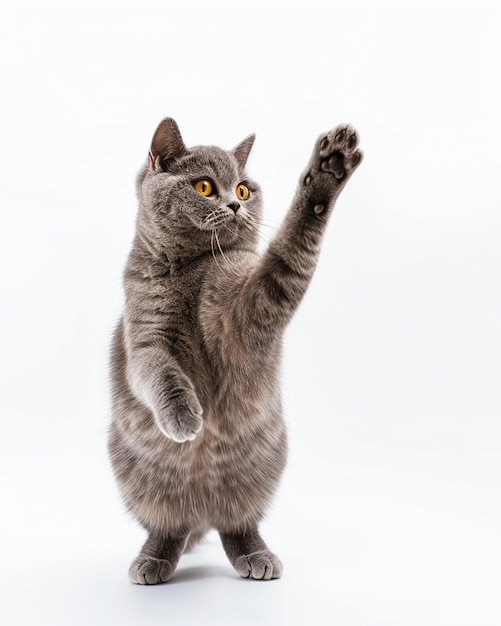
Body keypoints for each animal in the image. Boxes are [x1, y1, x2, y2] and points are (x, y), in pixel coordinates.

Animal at [107, 116, 362, 580]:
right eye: (205, 186)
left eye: (243, 190)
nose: (235, 207)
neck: (192, 268)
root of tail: (203, 512)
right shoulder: (144, 337)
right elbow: (159, 373)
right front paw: (184, 417)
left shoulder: (249, 308)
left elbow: (288, 254)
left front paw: (327, 172)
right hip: (141, 485)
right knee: (168, 527)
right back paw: (153, 560)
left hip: (260, 474)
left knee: (238, 524)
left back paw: (256, 557)